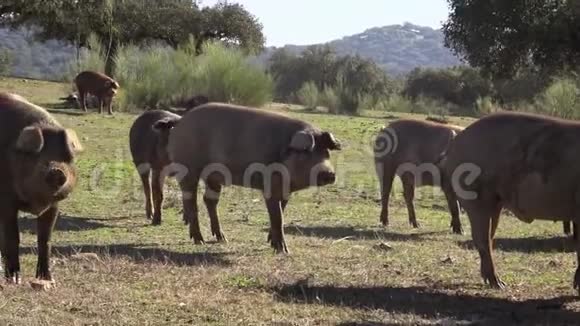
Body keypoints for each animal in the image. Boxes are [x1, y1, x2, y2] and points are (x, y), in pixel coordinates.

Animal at [0, 91, 82, 282]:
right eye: (38, 155)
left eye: (67, 157)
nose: (57, 170)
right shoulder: (6, 200)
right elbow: (12, 237)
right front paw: (15, 279)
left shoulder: (53, 206)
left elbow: (45, 239)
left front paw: (47, 279)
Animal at [156, 103, 342, 253]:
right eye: (307, 151)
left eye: (325, 152)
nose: (329, 173)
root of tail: (180, 121)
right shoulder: (270, 186)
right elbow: (277, 216)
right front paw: (283, 251)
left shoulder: (286, 191)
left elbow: (280, 212)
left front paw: (272, 242)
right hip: (188, 168)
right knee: (191, 201)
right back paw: (199, 241)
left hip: (213, 177)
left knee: (209, 200)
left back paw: (222, 238)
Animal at [440, 111, 580, 292]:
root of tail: (457, 139)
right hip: (477, 198)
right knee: (482, 239)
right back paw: (499, 285)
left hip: (495, 204)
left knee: (488, 237)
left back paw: (494, 282)